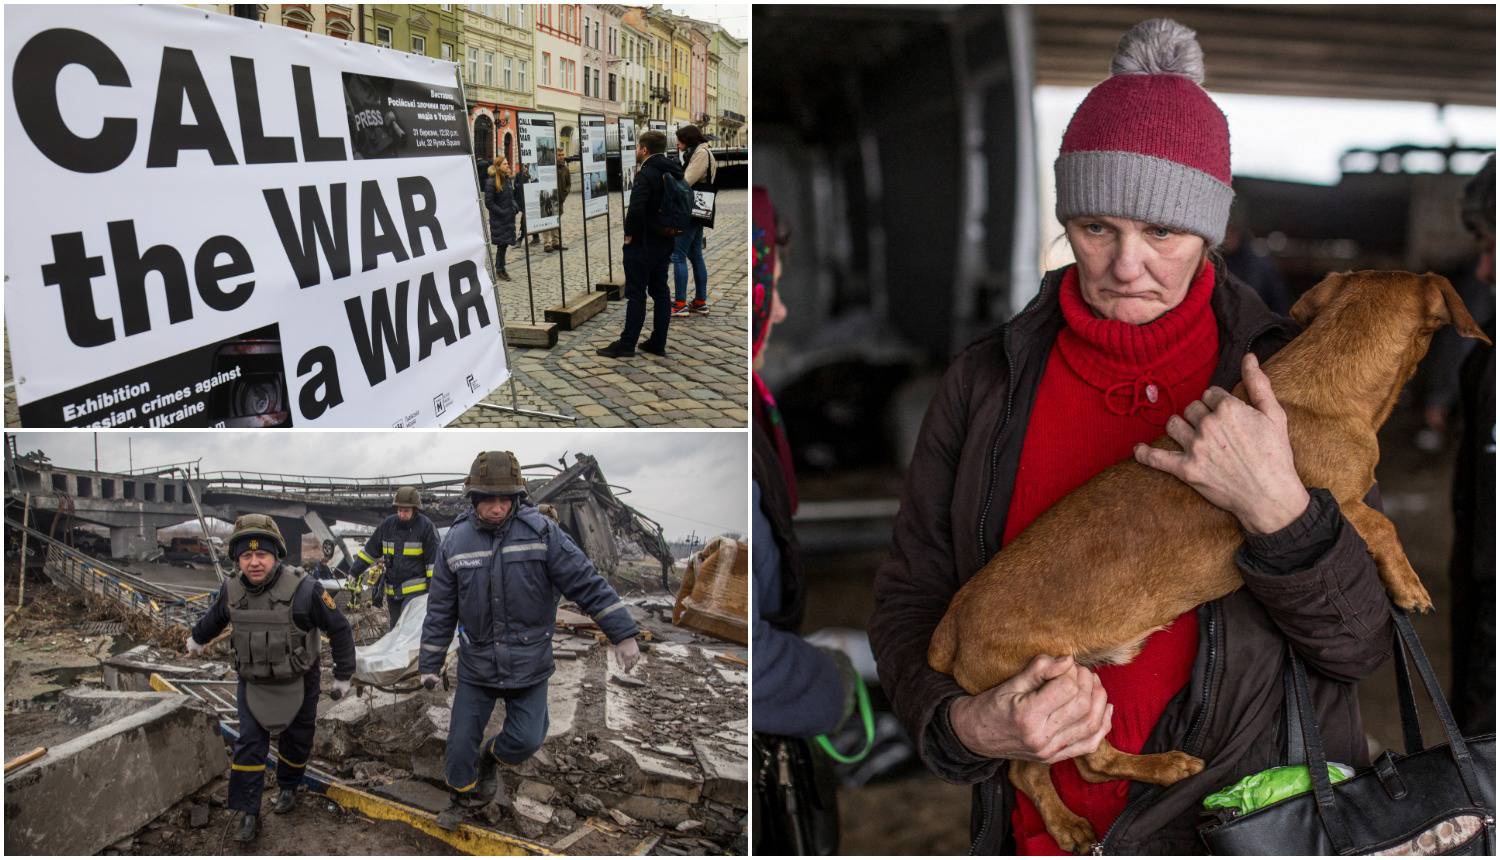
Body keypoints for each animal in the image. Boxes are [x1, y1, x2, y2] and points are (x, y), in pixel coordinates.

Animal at [924, 271, 1488, 846]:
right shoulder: (1340, 504)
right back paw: (1147, 777)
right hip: (1053, 683)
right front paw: (1411, 587)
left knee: (1045, 768)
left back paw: (1080, 816)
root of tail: (951, 624)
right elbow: (1383, 525)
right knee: (1075, 765)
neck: (1324, 380)